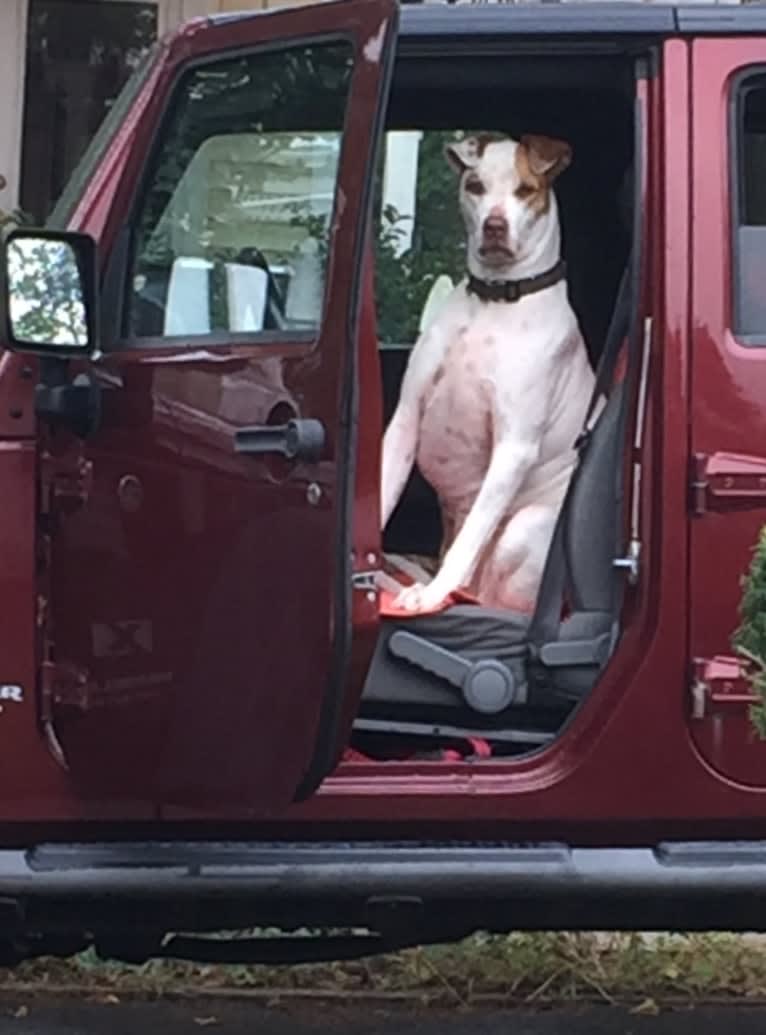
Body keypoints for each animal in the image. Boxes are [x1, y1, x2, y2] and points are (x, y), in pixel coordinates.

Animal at [380, 130, 596, 612]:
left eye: (525, 190)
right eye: (475, 186)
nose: (495, 226)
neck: (495, 300)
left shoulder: (513, 447)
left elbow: (473, 533)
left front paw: (431, 594)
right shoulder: (405, 418)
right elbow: (380, 495)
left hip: (524, 529)